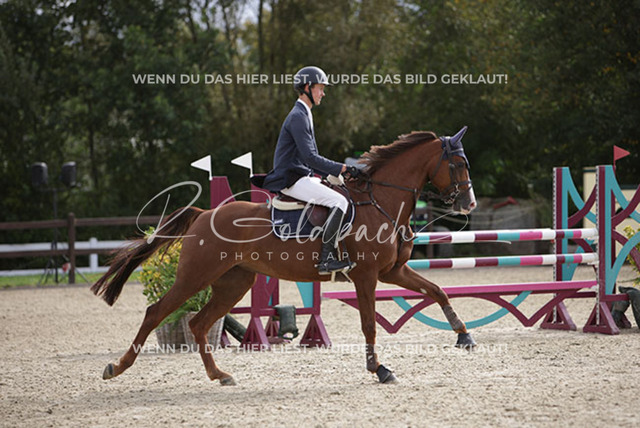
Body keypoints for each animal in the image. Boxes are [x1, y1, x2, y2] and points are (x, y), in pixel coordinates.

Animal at [91, 126, 477, 385]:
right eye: (458, 164)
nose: (469, 204)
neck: (380, 200)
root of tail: (204, 213)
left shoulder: (392, 272)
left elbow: (437, 291)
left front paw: (464, 336)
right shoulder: (367, 275)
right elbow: (369, 324)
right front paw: (379, 369)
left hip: (234, 282)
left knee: (199, 323)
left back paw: (220, 374)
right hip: (195, 276)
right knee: (157, 312)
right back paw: (116, 368)